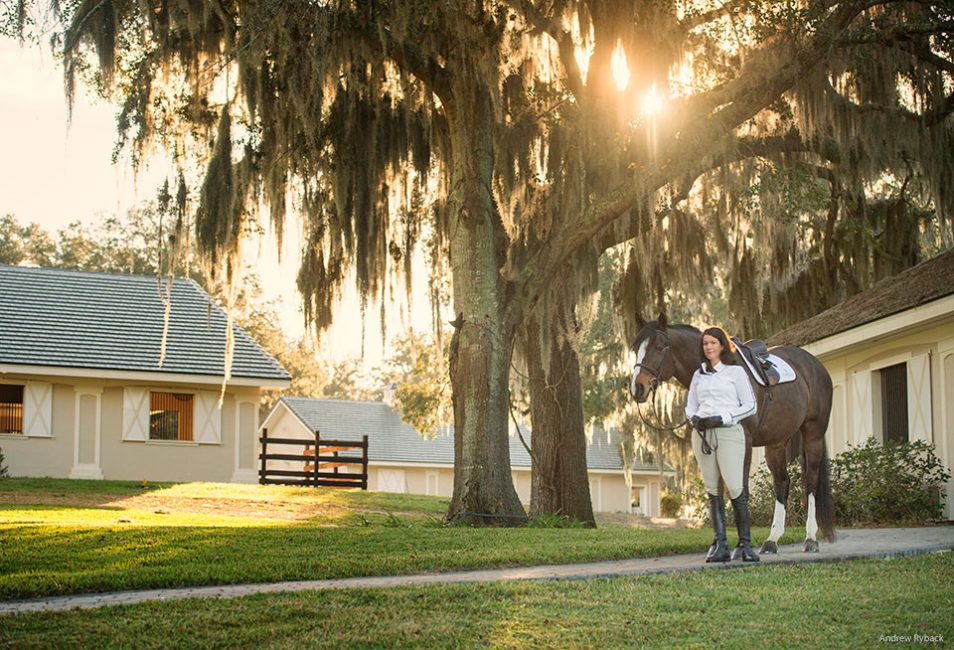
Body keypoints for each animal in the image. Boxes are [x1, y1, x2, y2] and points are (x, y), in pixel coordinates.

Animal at [628, 314, 828, 552]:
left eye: (660, 347)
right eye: (635, 348)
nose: (637, 388)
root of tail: (815, 364)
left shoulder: (743, 443)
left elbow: (741, 490)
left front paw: (742, 546)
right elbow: (717, 491)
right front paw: (719, 547)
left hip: (813, 435)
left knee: (811, 481)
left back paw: (811, 538)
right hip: (776, 443)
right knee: (782, 483)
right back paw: (772, 540)